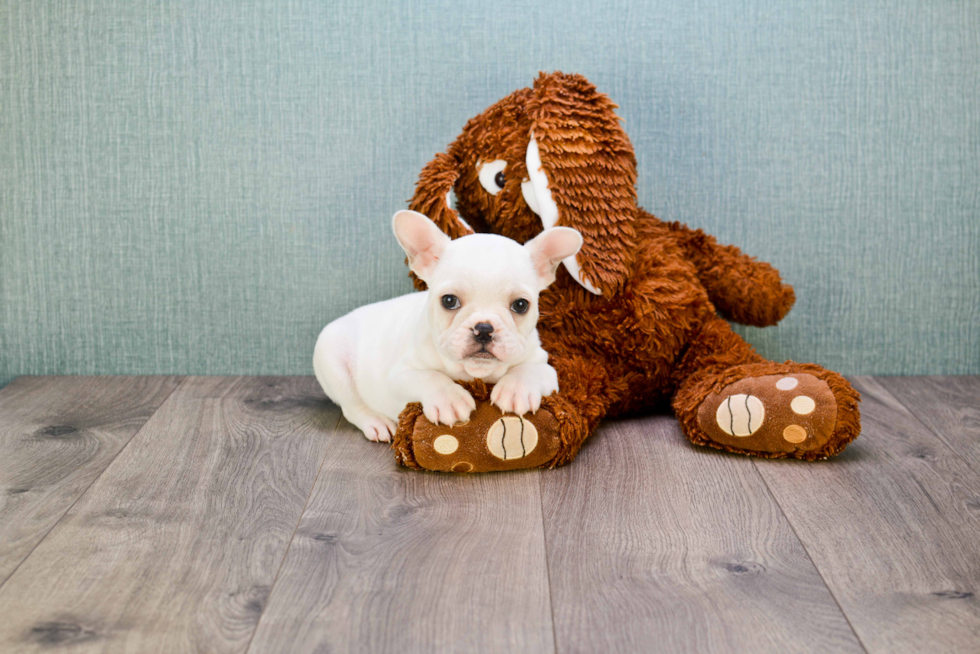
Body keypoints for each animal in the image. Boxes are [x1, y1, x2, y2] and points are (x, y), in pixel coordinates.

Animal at [312, 210, 580, 446]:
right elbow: (429, 377)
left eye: (521, 305)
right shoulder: (400, 374)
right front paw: (448, 398)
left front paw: (516, 389)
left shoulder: (544, 365)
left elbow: (529, 370)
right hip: (332, 359)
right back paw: (376, 422)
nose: (484, 328)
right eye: (449, 301)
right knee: (352, 406)